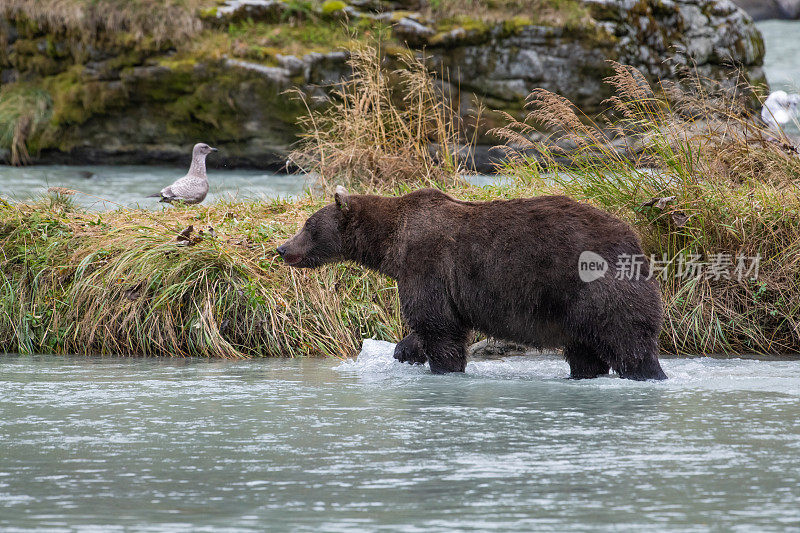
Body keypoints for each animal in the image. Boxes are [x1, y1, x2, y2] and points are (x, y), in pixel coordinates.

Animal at [278, 186, 664, 378]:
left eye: (308, 225)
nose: (282, 248)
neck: (391, 243)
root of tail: (635, 241)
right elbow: (433, 324)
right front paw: (405, 352)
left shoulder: (427, 262)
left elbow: (437, 324)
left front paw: (442, 366)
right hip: (574, 310)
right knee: (585, 350)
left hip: (593, 287)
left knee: (628, 341)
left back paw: (647, 373)